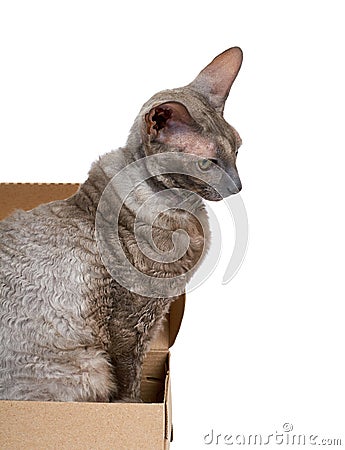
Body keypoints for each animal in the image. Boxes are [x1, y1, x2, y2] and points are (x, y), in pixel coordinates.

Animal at [0, 47, 242, 402]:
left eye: (237, 151)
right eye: (206, 163)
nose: (237, 186)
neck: (182, 207)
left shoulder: (155, 312)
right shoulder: (132, 320)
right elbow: (130, 379)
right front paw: (135, 403)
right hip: (91, 368)